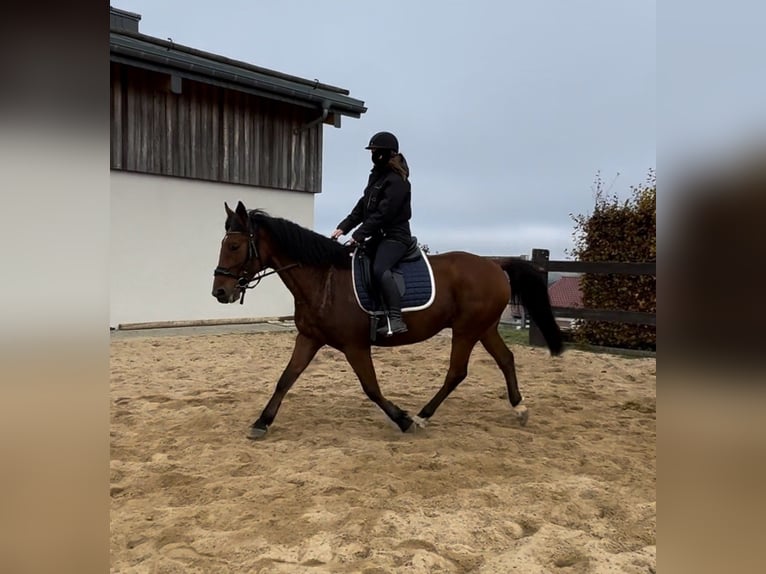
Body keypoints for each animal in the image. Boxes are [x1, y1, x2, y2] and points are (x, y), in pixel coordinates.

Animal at [210, 200, 564, 438]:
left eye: (235, 245)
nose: (220, 292)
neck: (324, 279)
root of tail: (495, 264)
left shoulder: (355, 346)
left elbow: (371, 387)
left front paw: (403, 419)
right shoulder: (309, 338)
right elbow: (286, 378)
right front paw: (261, 422)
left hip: (466, 330)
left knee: (456, 372)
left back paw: (422, 416)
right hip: (484, 327)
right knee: (505, 359)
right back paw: (519, 408)